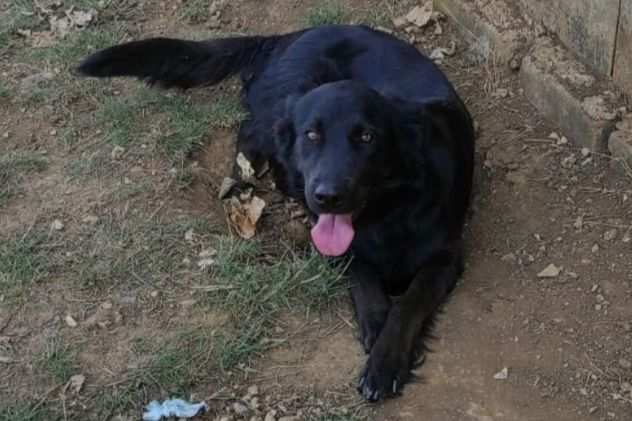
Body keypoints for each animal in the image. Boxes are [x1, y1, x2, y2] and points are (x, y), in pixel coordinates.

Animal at [78, 23, 474, 400]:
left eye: (367, 137)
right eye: (312, 135)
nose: (327, 197)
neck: (385, 212)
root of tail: (284, 38)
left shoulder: (445, 257)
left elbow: (409, 304)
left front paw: (385, 362)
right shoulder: (338, 247)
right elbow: (363, 279)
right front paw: (376, 328)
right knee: (251, 131)